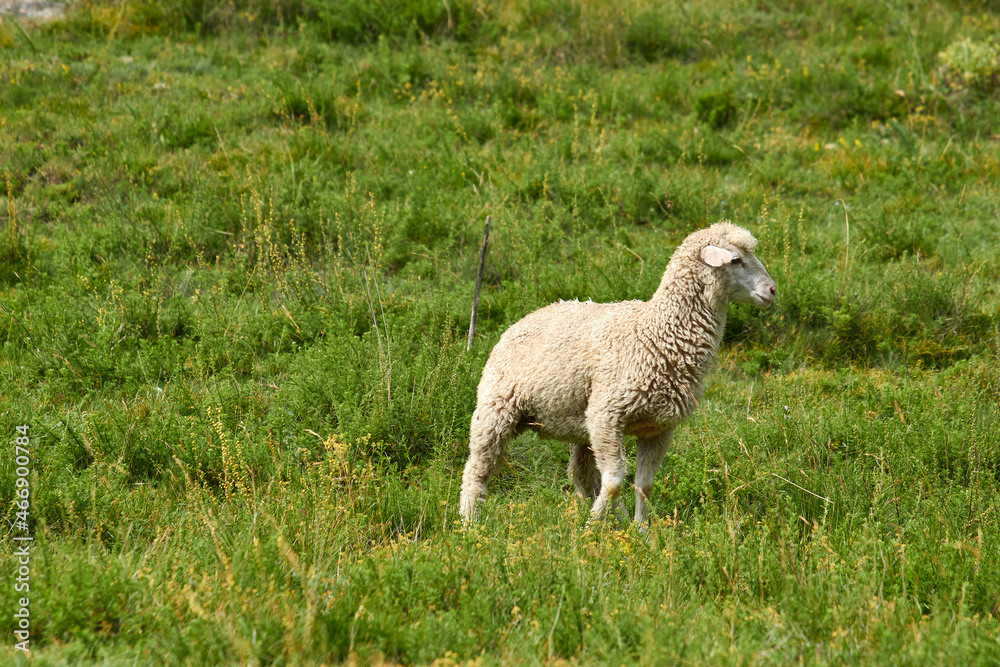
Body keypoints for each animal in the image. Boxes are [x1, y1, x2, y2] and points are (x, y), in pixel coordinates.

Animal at [459, 221, 776, 525]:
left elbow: (642, 484)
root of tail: (525, 318)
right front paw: (590, 529)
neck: (655, 334)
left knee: (583, 476)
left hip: (578, 425)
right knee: (475, 470)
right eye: (735, 260)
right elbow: (614, 481)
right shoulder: (606, 414)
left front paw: (641, 531)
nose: (773, 290)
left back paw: (617, 518)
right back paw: (468, 523)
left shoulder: (658, 427)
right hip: (496, 409)